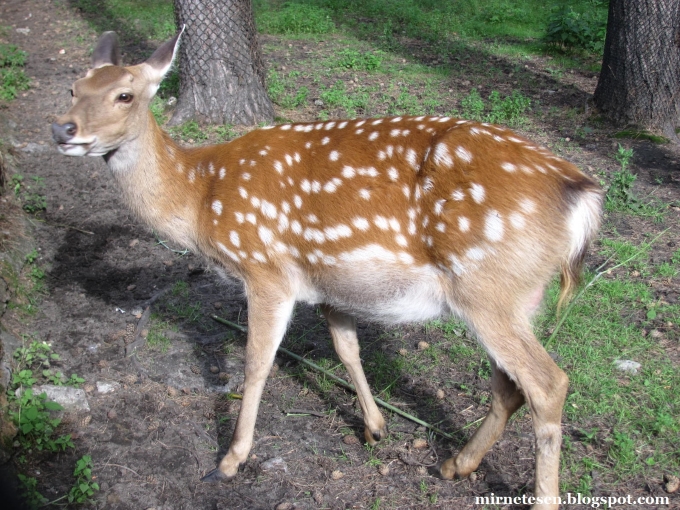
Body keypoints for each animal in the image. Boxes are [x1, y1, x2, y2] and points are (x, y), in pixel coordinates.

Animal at [54, 31, 600, 506]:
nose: (63, 128)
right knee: (510, 386)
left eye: (125, 94)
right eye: (73, 88)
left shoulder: (265, 270)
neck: (200, 198)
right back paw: (453, 465)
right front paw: (375, 427)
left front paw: (230, 461)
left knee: (548, 383)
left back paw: (534, 495)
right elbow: (346, 349)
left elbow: (256, 364)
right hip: (512, 297)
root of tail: (584, 197)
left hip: (489, 289)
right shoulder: (329, 285)